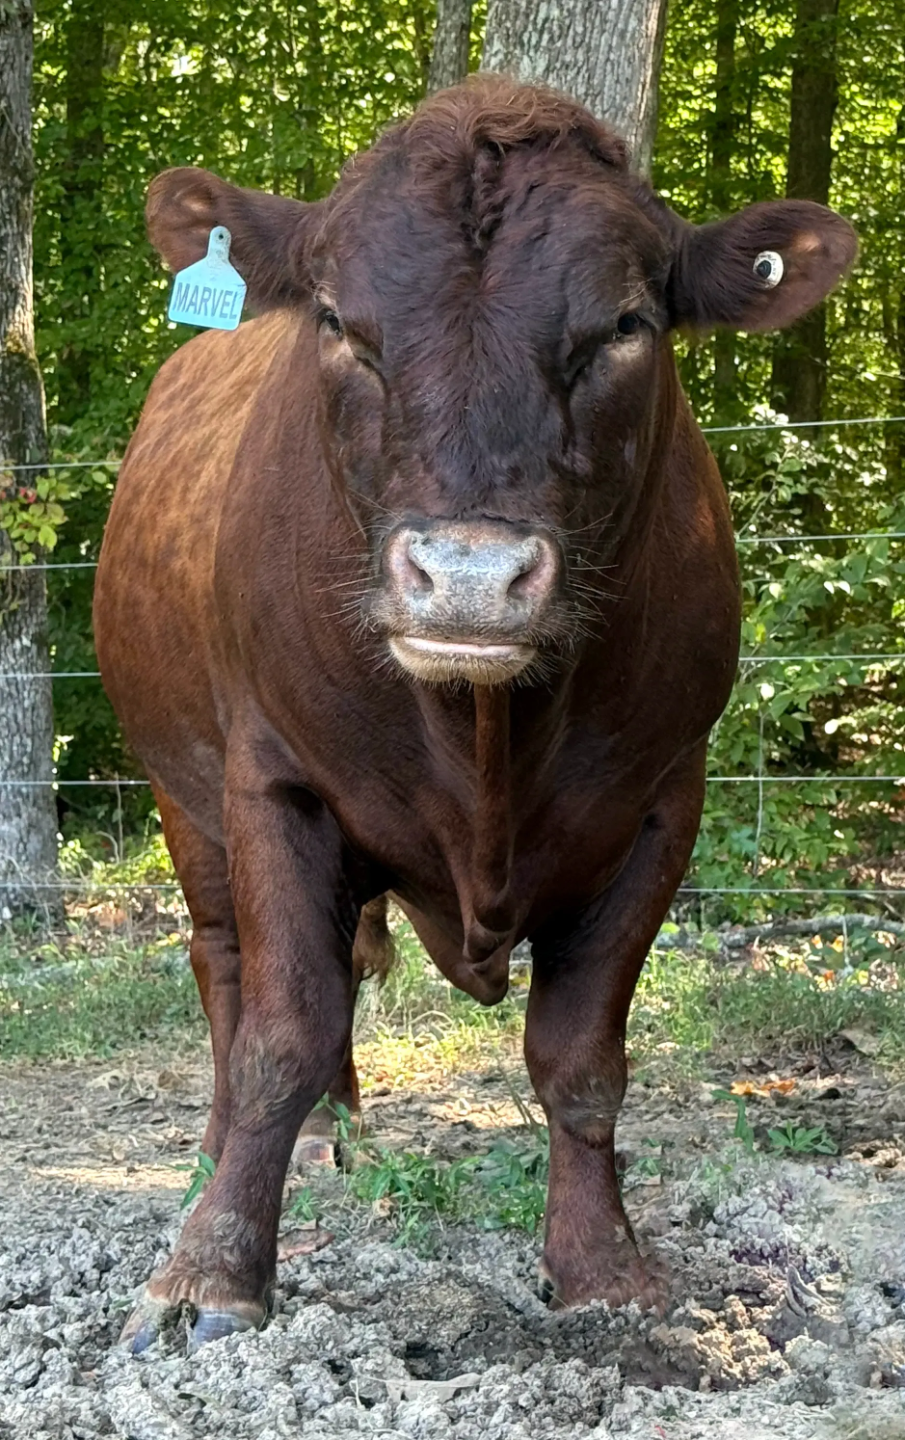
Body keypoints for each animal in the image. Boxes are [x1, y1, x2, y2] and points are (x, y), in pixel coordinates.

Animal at [93, 76, 856, 1353]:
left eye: (623, 325)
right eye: (339, 321)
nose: (463, 574)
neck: (486, 743)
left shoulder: (661, 802)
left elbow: (580, 1058)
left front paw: (600, 1265)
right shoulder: (272, 781)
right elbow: (280, 1030)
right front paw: (209, 1272)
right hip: (182, 794)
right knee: (228, 969)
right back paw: (253, 1151)